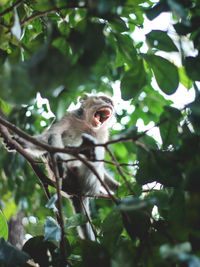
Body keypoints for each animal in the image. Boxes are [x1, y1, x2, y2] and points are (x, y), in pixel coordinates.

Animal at [2, 94, 120, 241]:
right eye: (103, 99)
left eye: (110, 102)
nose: (110, 105)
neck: (87, 124)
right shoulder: (67, 116)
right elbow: (48, 137)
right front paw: (20, 141)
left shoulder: (102, 134)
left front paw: (117, 186)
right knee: (55, 138)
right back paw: (63, 161)